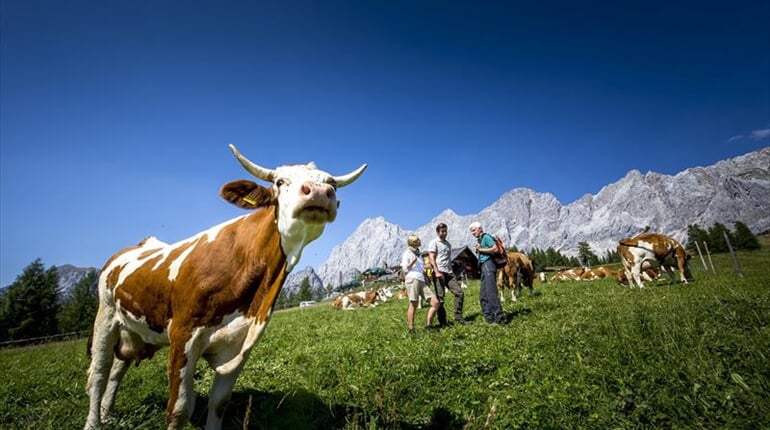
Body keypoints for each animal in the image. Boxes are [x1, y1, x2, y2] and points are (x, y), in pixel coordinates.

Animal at [84, 145, 366, 430]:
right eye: (279, 181)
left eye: (332, 184)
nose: (319, 192)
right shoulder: (183, 334)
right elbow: (179, 409)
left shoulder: (241, 344)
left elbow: (219, 402)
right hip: (106, 318)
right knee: (99, 373)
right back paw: (94, 422)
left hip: (133, 330)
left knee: (117, 369)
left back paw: (107, 414)